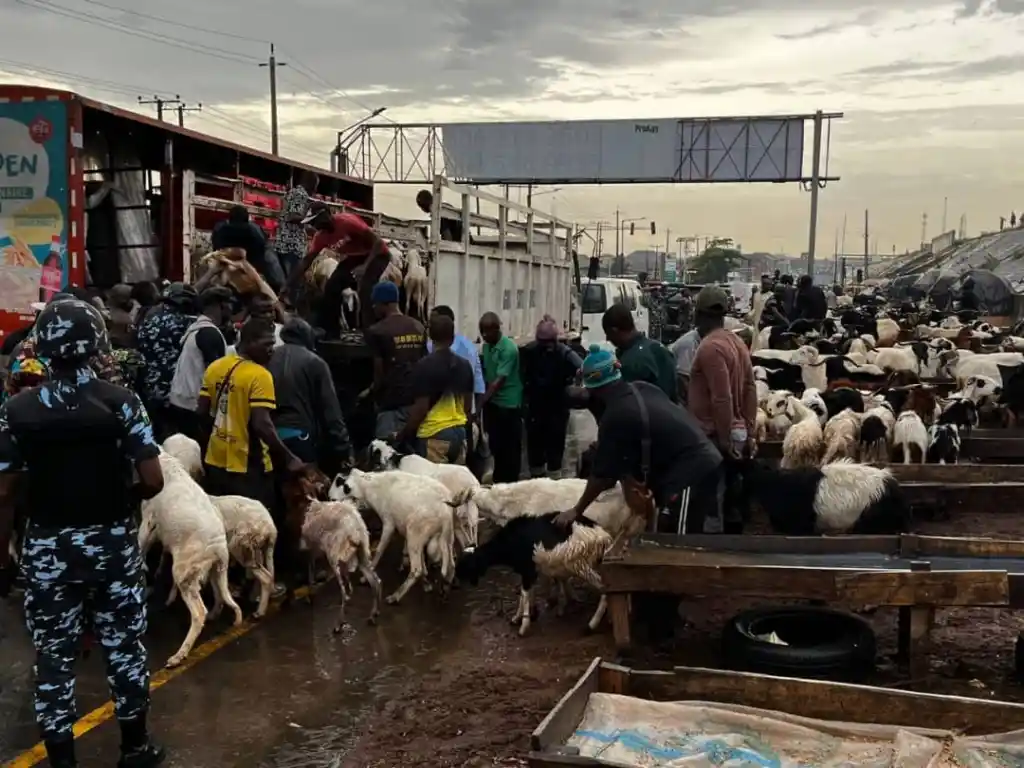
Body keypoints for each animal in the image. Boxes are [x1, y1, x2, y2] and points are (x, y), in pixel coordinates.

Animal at [138, 456, 241, 667]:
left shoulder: (148, 522)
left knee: (198, 613)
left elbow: (140, 542)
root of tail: (219, 547)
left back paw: (178, 656)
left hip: (183, 573)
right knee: (220, 596)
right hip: (214, 572)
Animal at [327, 468, 456, 606]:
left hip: (415, 532)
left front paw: (366, 576)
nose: (330, 498)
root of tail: (445, 511)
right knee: (451, 565)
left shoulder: (389, 523)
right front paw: (426, 584)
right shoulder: (409, 532)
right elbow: (422, 559)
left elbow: (379, 549)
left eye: (343, 484)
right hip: (446, 536)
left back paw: (395, 596)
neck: (371, 487)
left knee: (416, 570)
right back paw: (444, 591)